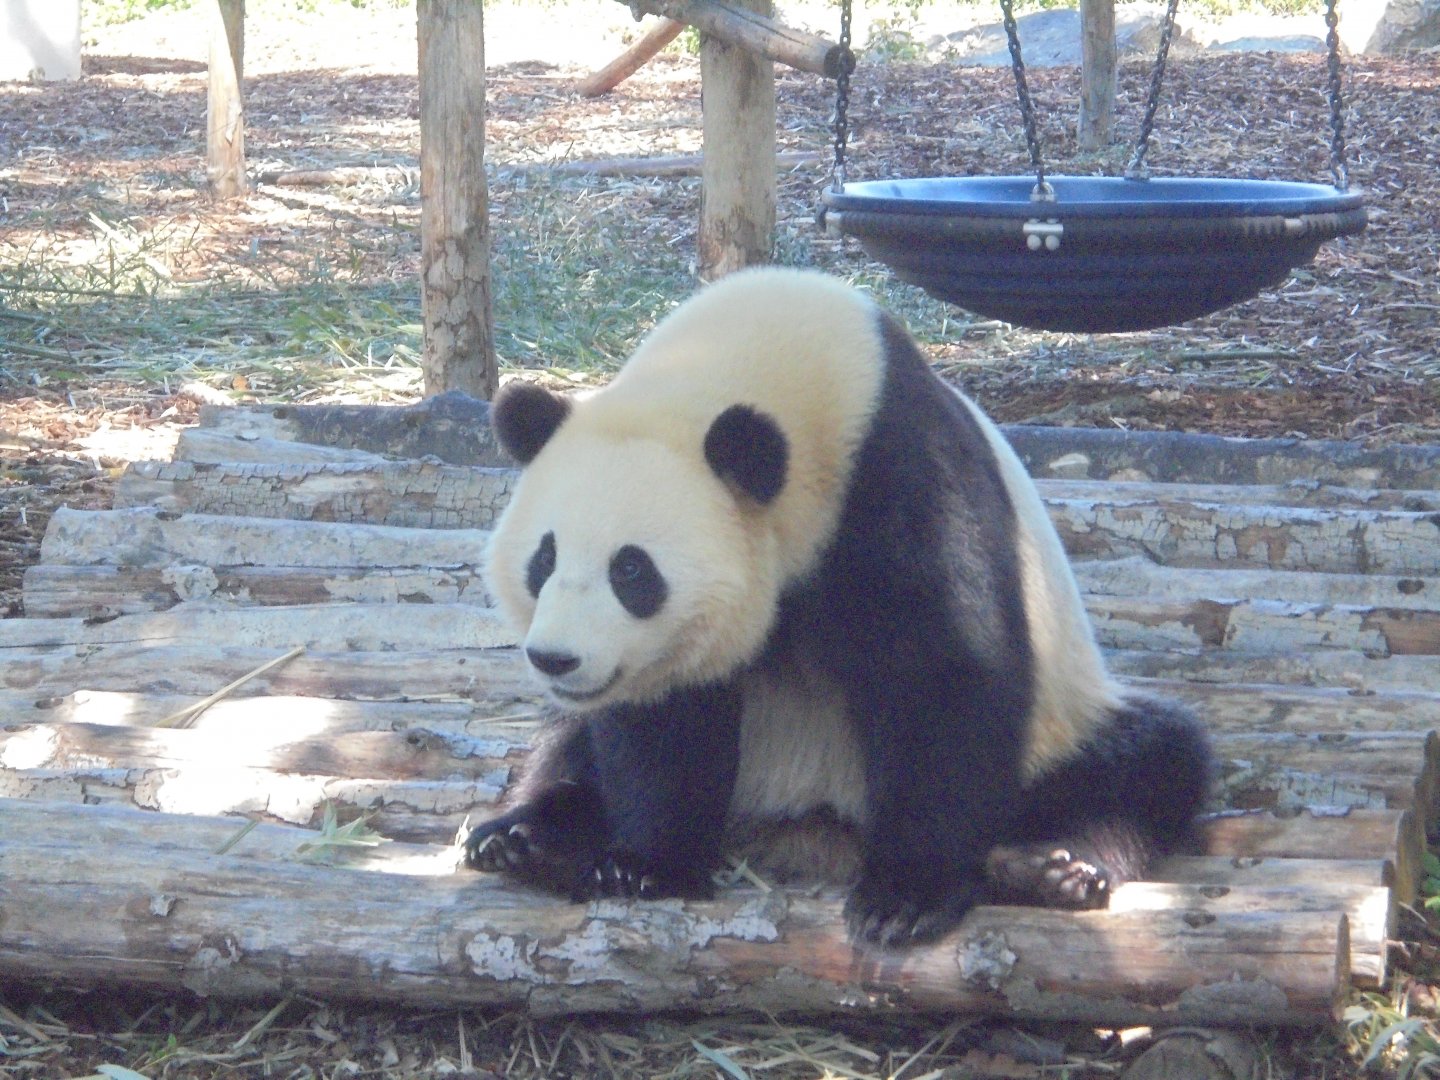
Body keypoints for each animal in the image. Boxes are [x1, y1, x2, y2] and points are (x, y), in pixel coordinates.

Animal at [463, 267, 1213, 948]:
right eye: (543, 559)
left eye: (631, 570)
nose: (556, 658)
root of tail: (807, 818)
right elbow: (664, 714)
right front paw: (645, 864)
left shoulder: (900, 472)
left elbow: (942, 673)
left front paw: (905, 897)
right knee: (564, 742)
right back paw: (524, 838)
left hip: (1059, 726)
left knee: (1149, 763)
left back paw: (1053, 868)